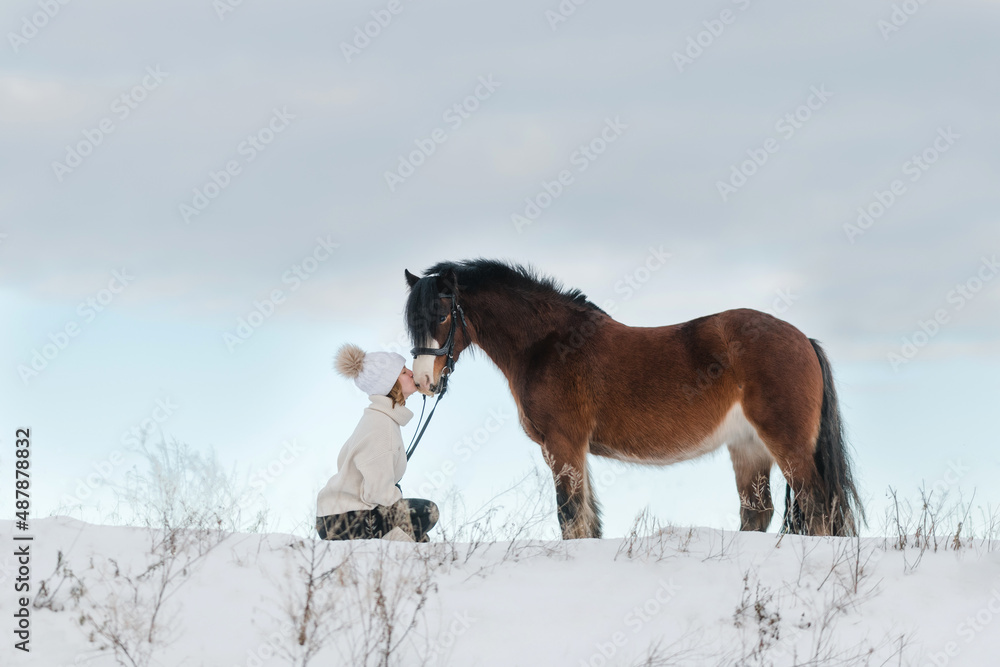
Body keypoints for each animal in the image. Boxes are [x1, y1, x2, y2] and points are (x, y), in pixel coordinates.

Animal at [403, 259, 863, 539]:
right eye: (411, 320)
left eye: (441, 314)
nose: (424, 381)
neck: (550, 344)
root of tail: (803, 339)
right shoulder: (572, 451)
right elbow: (588, 520)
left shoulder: (563, 445)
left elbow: (571, 518)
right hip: (748, 447)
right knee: (759, 512)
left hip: (788, 445)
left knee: (818, 507)